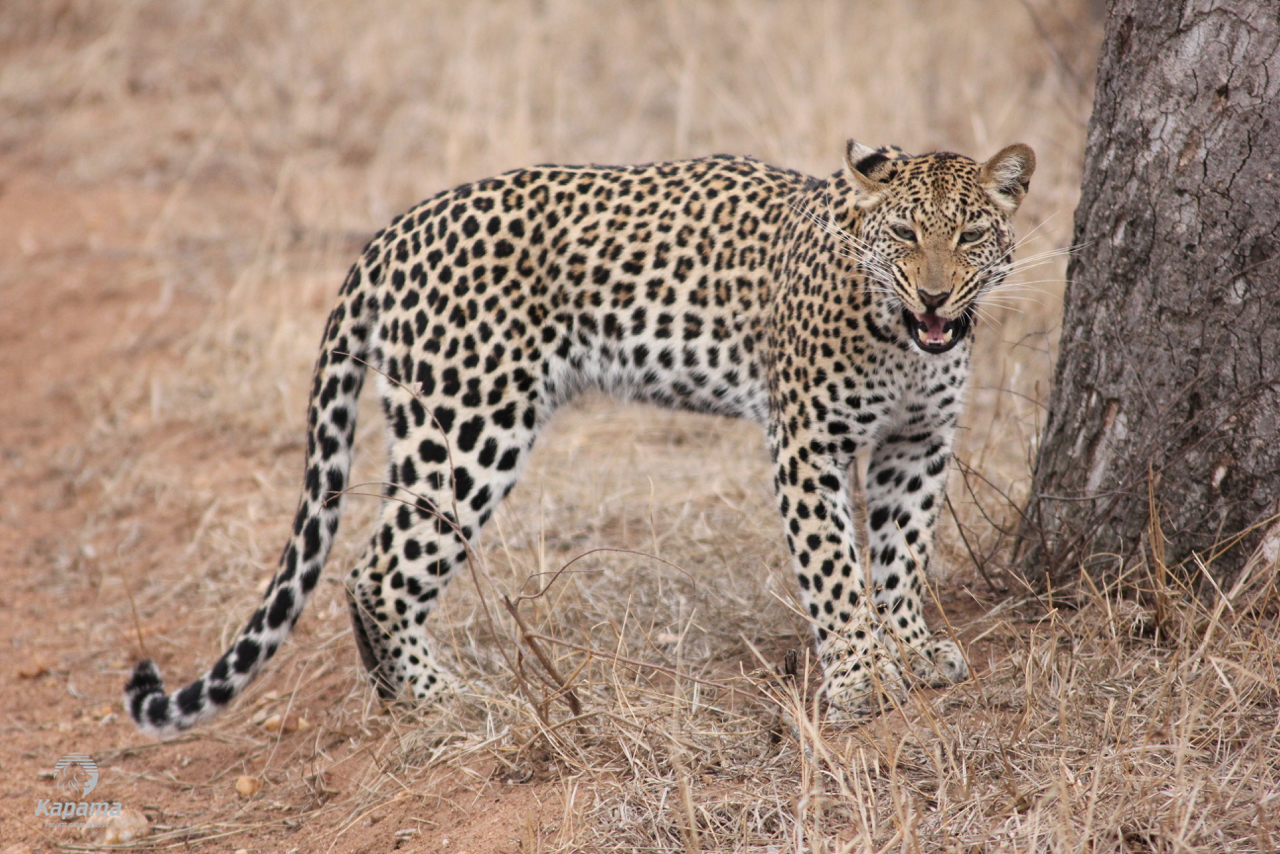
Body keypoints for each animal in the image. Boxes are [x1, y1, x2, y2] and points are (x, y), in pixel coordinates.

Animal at [126, 139, 1035, 736]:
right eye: (905, 235)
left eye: (970, 235)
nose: (935, 296)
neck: (903, 338)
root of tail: (391, 232)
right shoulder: (806, 443)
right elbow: (836, 573)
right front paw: (857, 683)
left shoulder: (917, 444)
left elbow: (901, 557)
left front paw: (912, 651)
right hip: (469, 422)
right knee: (375, 569)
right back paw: (445, 701)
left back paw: (404, 698)